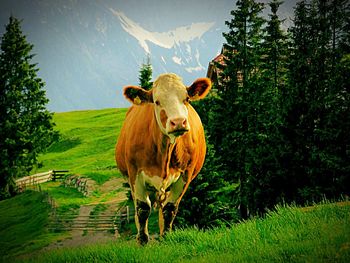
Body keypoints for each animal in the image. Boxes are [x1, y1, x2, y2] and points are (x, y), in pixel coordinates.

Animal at [116, 72, 212, 245]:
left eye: (186, 98)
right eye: (157, 101)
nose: (179, 122)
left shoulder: (185, 176)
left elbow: (170, 209)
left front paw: (166, 238)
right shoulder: (135, 174)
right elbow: (142, 209)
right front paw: (142, 241)